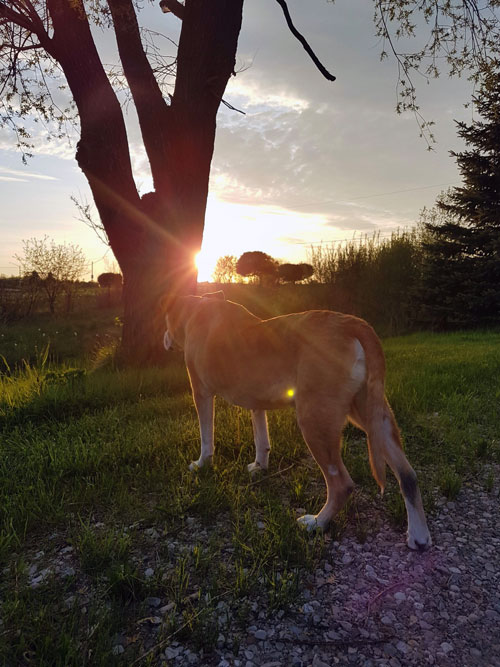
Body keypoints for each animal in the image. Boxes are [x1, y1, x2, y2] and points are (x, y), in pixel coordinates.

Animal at [166, 294, 432, 552]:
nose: (164, 339)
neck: (193, 310)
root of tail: (352, 324)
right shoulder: (256, 399)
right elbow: (261, 436)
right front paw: (260, 466)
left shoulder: (200, 392)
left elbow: (206, 436)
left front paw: (201, 464)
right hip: (371, 414)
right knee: (408, 474)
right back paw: (418, 536)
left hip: (315, 420)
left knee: (341, 484)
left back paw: (317, 523)